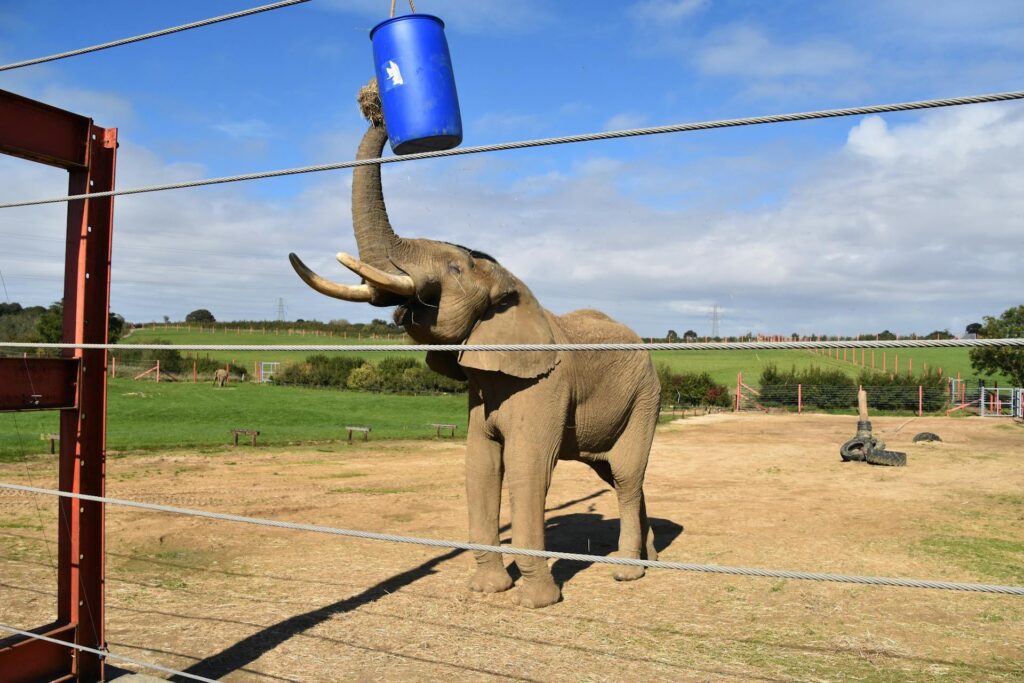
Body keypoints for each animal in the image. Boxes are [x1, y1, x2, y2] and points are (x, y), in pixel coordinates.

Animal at [289, 79, 661, 608]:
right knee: (617, 474)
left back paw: (627, 573)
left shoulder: (544, 387)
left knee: (627, 475)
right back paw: (651, 560)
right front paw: (487, 590)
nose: (375, 105)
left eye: (454, 270)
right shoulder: (482, 387)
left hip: (645, 396)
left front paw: (536, 601)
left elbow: (526, 469)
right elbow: (479, 468)